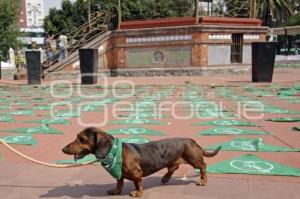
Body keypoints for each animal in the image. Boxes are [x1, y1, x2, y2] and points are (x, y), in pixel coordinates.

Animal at [62, 126, 221, 197]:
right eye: (77, 137)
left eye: (82, 139)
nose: (63, 149)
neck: (115, 152)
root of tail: (191, 140)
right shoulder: (120, 175)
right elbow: (119, 182)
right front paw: (116, 191)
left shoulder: (136, 174)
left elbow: (137, 183)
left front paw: (137, 193)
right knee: (172, 168)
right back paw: (165, 178)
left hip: (194, 159)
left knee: (203, 166)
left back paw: (203, 181)